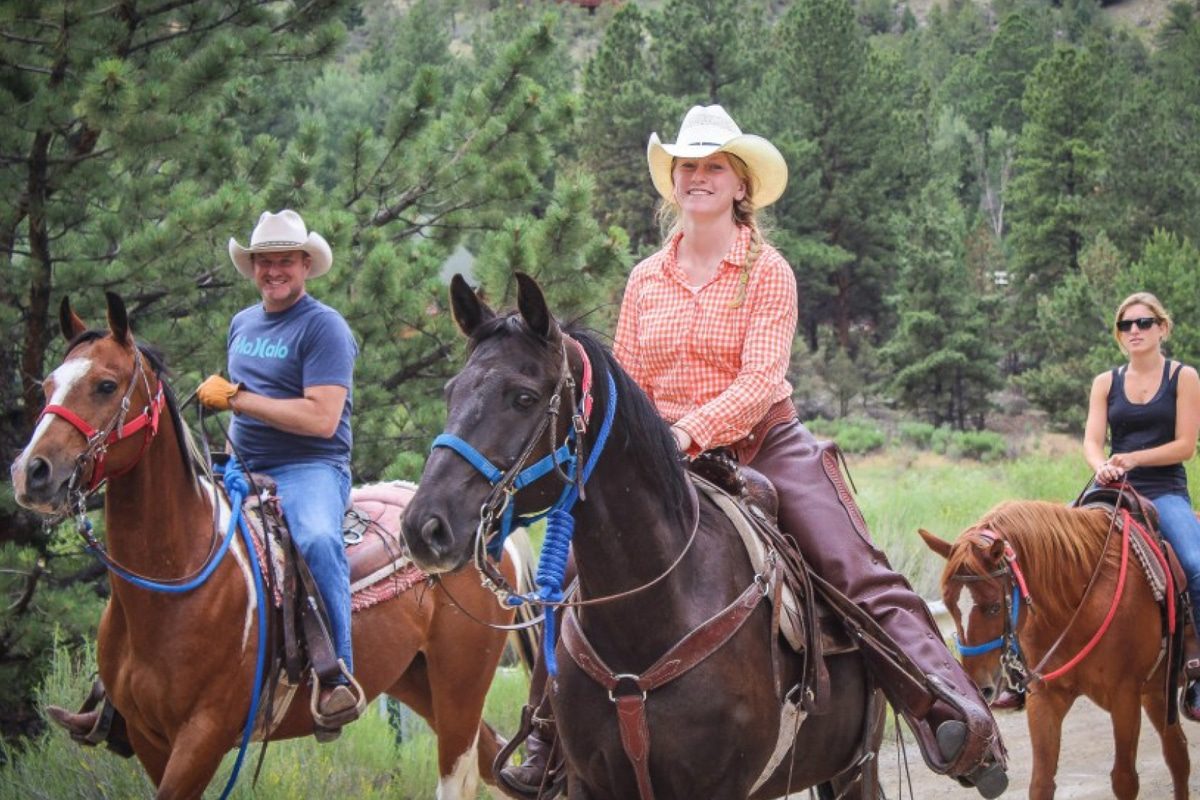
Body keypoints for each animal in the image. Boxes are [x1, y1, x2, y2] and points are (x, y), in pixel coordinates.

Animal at [7, 293, 520, 800]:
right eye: (48, 384)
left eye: (106, 385)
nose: (31, 471)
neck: (175, 582)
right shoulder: (148, 738)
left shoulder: (203, 736)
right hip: (414, 678)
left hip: (460, 684)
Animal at [403, 277, 883, 800]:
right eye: (451, 392)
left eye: (524, 397)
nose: (423, 527)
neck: (651, 614)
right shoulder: (588, 782)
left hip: (856, 769)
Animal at [916, 501, 1190, 800]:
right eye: (949, 605)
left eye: (994, 607)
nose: (981, 687)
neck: (1081, 599)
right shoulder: (1046, 698)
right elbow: (1041, 783)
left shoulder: (1124, 697)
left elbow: (1125, 780)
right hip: (1155, 692)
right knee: (1178, 755)